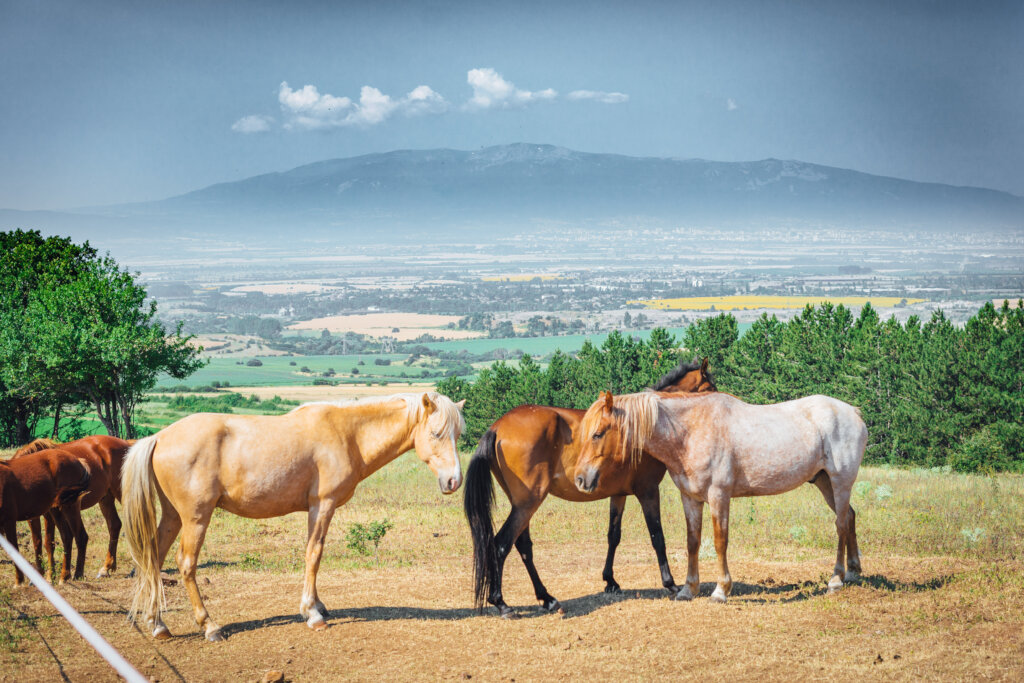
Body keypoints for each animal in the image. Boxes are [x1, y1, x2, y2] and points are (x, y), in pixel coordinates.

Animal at [1, 448, 92, 585]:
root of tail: (77, 460)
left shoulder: (9, 520)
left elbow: (14, 548)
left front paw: (19, 581)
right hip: (56, 509)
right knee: (67, 537)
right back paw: (64, 576)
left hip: (69, 506)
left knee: (80, 536)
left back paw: (76, 574)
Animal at [12, 435, 132, 580]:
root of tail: (126, 444)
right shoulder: (34, 516)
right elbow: (39, 542)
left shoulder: (49, 513)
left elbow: (48, 542)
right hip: (106, 498)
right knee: (114, 525)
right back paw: (106, 568)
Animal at [122, 392, 466, 642]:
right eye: (436, 433)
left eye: (458, 435)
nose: (454, 480)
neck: (348, 434)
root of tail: (160, 437)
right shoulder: (322, 506)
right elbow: (314, 553)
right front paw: (312, 614)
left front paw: (320, 606)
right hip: (195, 518)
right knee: (186, 563)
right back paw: (209, 626)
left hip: (172, 516)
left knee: (154, 557)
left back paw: (157, 624)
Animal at [464, 359, 717, 617]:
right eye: (710, 389)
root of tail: (497, 426)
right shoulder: (647, 491)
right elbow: (657, 536)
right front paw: (670, 583)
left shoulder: (619, 494)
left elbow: (613, 536)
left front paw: (610, 581)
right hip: (528, 503)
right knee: (501, 544)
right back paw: (501, 602)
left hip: (522, 505)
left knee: (523, 546)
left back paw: (546, 598)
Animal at [574, 390, 867, 603]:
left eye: (598, 433)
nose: (580, 479)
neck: (689, 432)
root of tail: (852, 411)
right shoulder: (690, 498)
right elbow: (693, 542)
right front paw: (688, 589)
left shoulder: (719, 496)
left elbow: (719, 541)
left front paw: (720, 590)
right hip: (824, 482)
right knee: (850, 517)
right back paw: (853, 571)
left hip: (840, 482)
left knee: (840, 525)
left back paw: (836, 579)